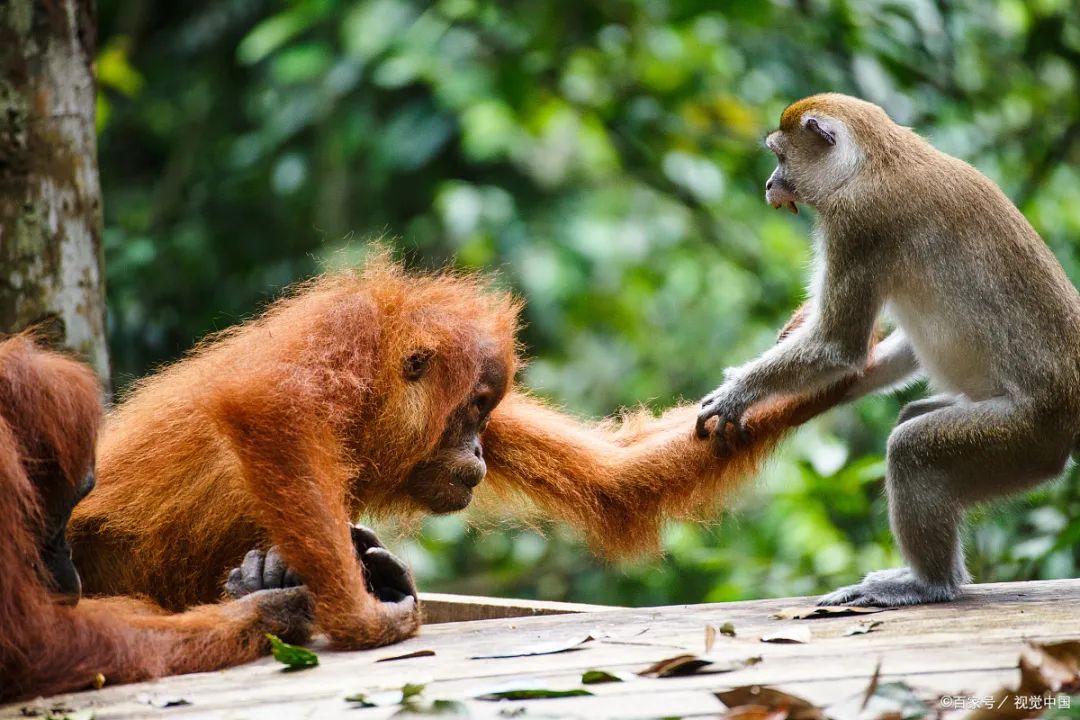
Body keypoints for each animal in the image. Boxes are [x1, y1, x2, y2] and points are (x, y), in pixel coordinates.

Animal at [695, 91, 1080, 608]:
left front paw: (739, 393)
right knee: (913, 419)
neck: (875, 159)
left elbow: (838, 343)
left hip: (1029, 437)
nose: (770, 184)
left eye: (780, 156)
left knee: (913, 450)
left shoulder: (858, 223)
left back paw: (929, 583)